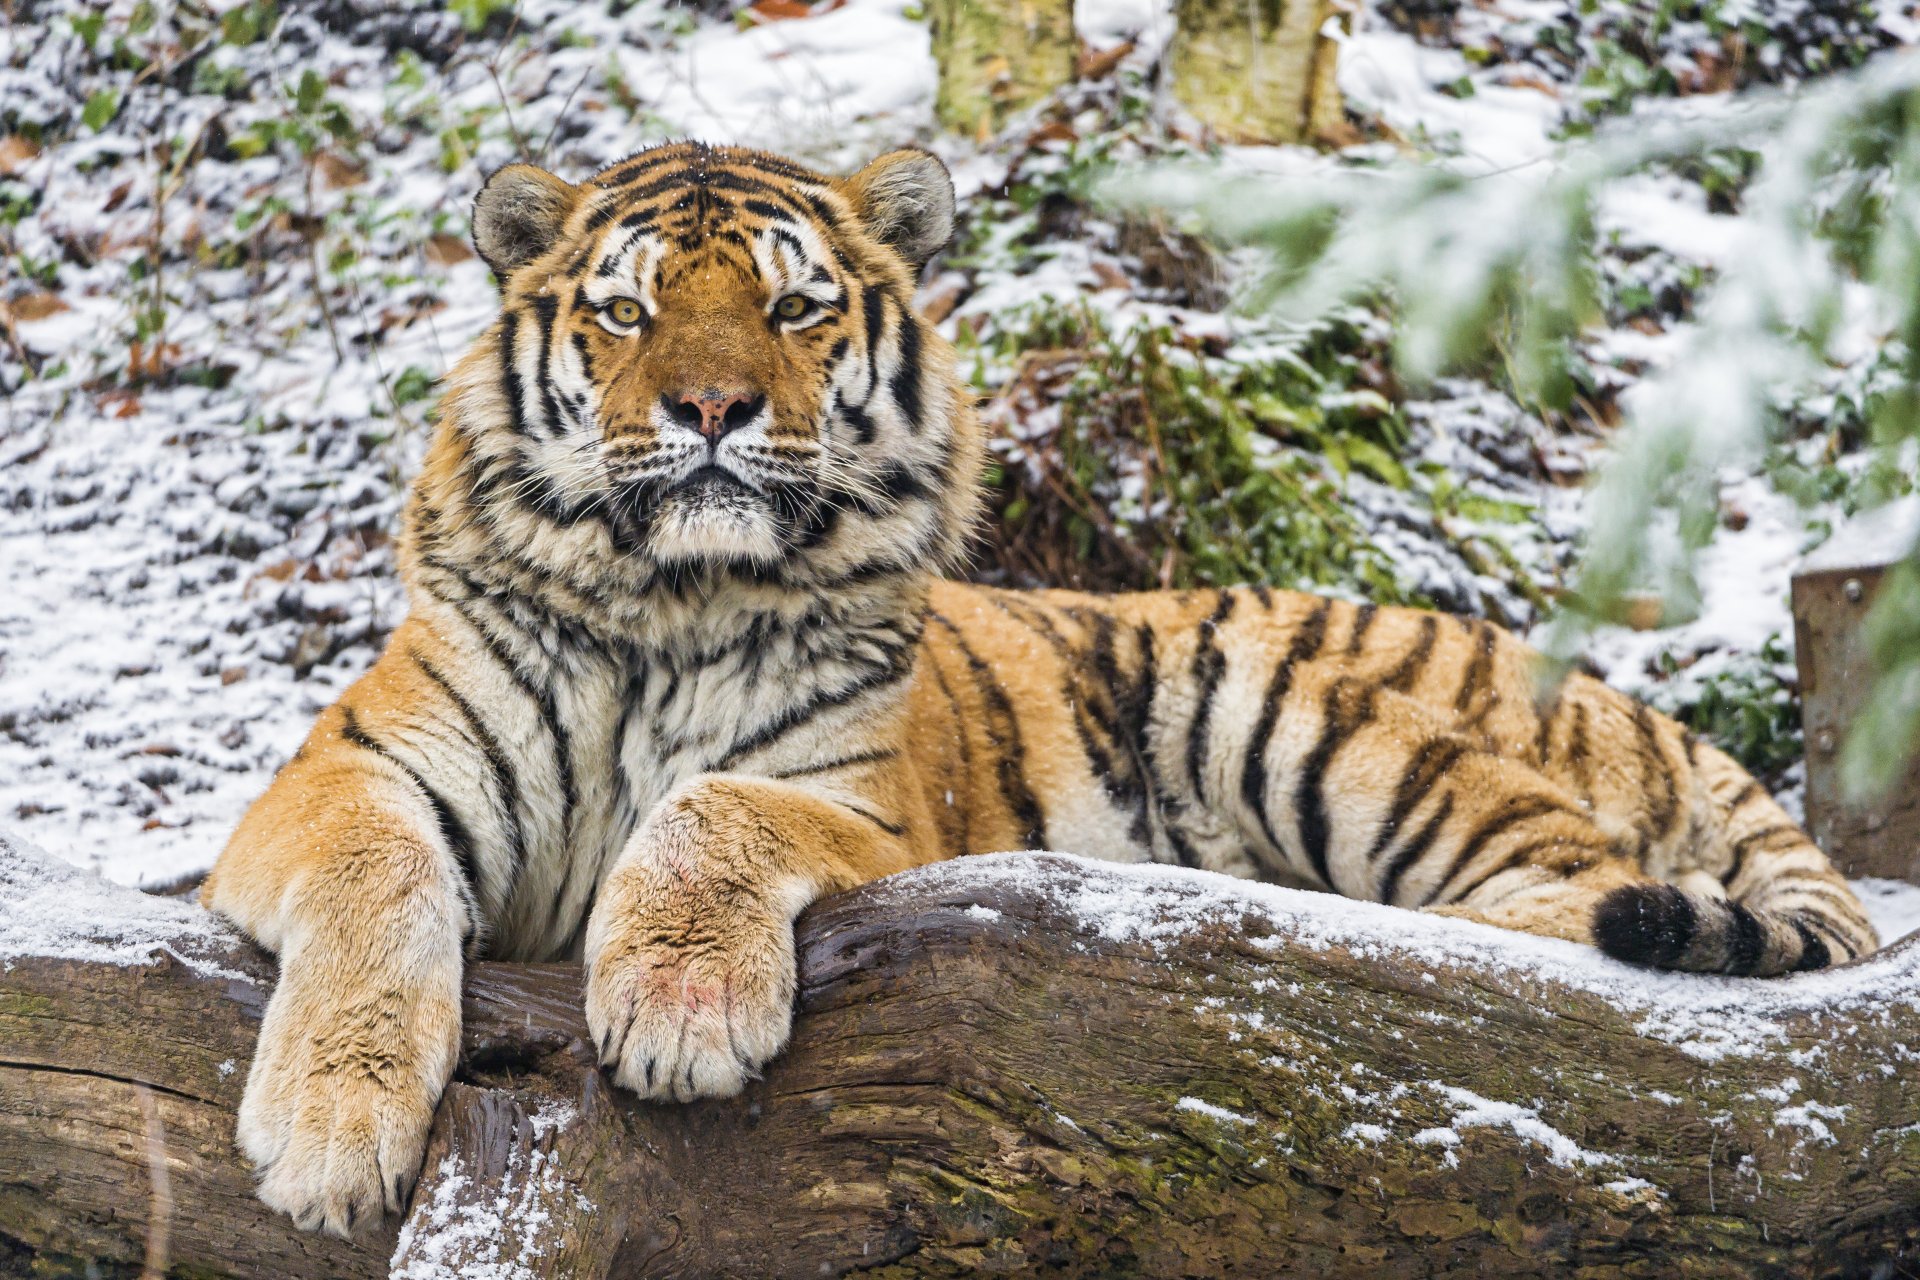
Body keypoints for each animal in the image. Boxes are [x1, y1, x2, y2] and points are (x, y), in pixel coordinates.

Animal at [202, 140, 1879, 1236]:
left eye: (795, 309)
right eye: (627, 311)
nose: (713, 406)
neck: (675, 599)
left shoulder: (865, 806)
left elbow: (709, 808)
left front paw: (679, 1006)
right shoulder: (347, 774)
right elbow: (372, 883)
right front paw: (331, 1133)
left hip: (1305, 712)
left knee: (1554, 923)